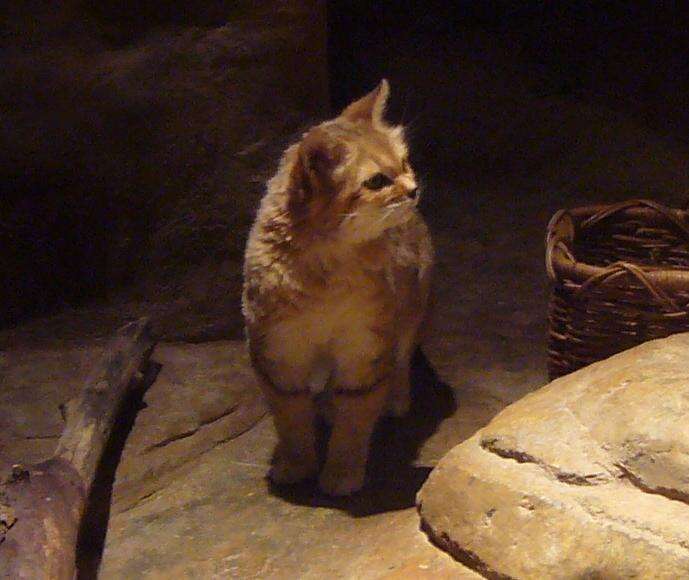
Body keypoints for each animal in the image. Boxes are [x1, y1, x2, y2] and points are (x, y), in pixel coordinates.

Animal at [243, 80, 430, 498]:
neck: (325, 278)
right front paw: (296, 465)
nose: (413, 190)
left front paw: (342, 473)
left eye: (405, 162)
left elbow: (353, 422)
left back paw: (395, 398)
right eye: (377, 181)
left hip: (409, 315)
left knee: (401, 361)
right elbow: (291, 421)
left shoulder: (365, 352)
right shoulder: (278, 356)